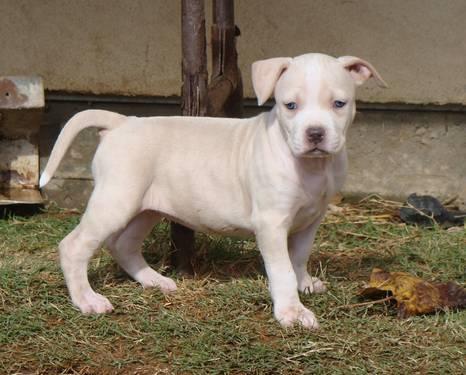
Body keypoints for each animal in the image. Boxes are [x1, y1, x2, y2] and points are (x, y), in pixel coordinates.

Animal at [41, 53, 386, 328]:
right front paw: (291, 312)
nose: (315, 133)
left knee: (122, 244)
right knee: (74, 246)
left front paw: (306, 285)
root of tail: (122, 122)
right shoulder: (271, 223)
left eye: (339, 104)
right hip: (116, 200)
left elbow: (298, 257)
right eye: (290, 105)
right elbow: (282, 269)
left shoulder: (311, 219)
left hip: (146, 207)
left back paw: (154, 281)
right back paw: (87, 300)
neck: (312, 166)